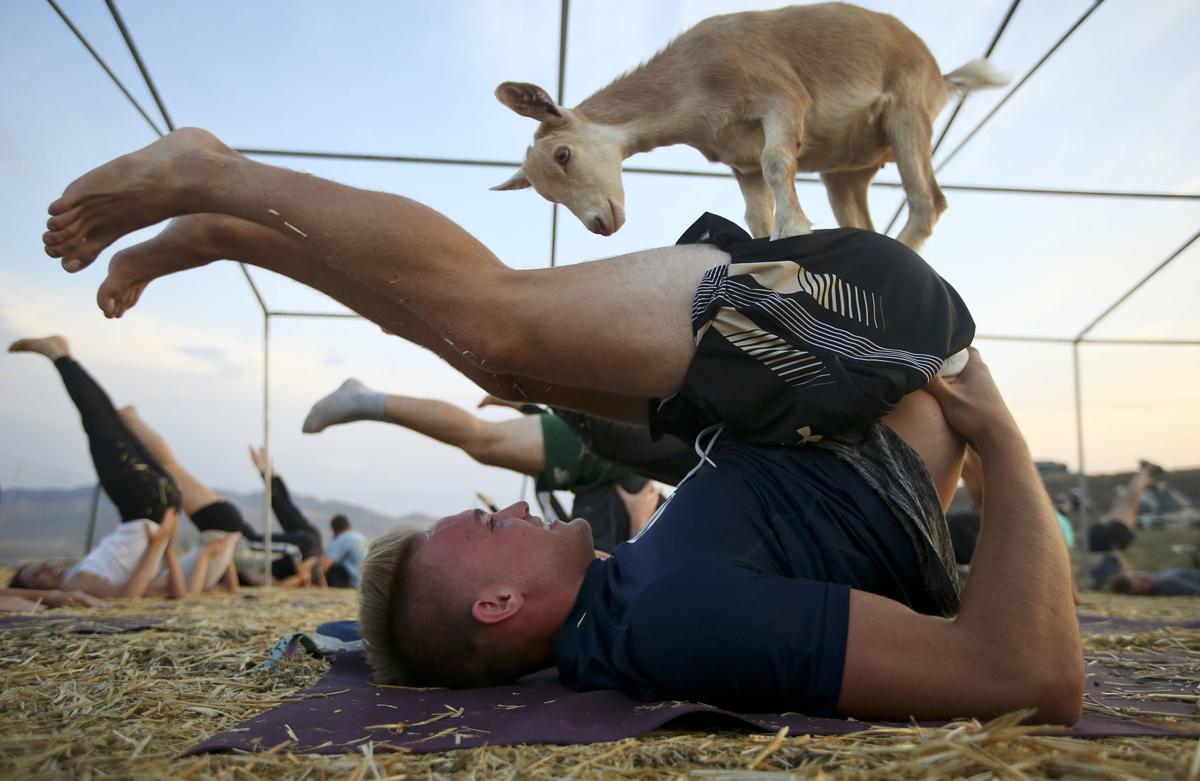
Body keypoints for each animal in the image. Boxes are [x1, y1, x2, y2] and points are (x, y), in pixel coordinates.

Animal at [492, 1, 1008, 247]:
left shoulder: (781, 98)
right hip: (845, 171)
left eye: (563, 154)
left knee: (929, 201)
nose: (601, 223)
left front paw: (793, 231)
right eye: (545, 193)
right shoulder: (739, 161)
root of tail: (942, 75)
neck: (695, 81)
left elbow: (779, 162)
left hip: (907, 113)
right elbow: (755, 212)